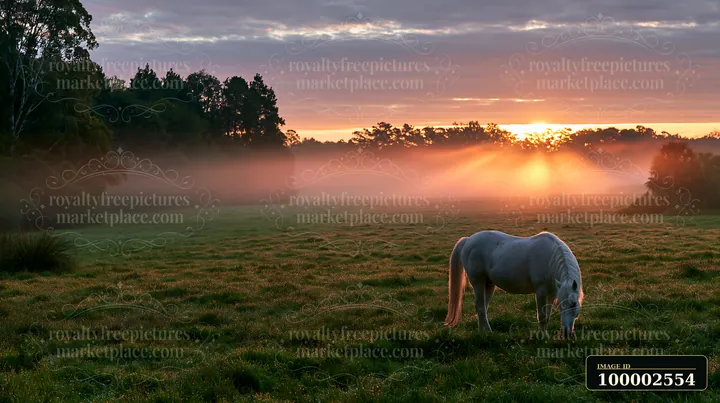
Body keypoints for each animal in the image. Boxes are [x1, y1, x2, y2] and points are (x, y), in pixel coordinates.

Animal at [443, 230, 584, 337]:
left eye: (573, 304)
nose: (566, 333)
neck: (551, 258)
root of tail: (468, 240)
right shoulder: (541, 291)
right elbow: (542, 315)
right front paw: (542, 336)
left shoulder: (552, 293)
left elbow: (547, 314)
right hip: (478, 281)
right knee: (480, 306)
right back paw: (488, 331)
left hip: (488, 284)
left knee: (482, 307)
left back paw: (482, 332)